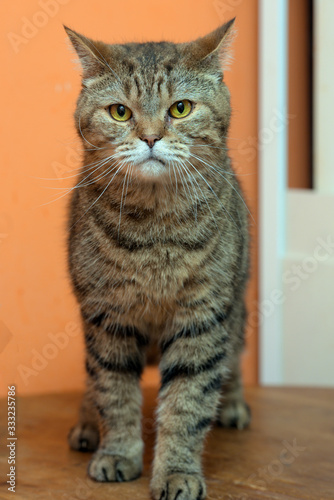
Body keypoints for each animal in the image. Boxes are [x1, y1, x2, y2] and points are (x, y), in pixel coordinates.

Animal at [65, 19, 250, 500]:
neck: (154, 231)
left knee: (233, 361)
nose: (150, 137)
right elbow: (115, 392)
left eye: (180, 109)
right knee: (92, 379)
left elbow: (187, 403)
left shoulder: (203, 317)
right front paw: (118, 453)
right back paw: (86, 422)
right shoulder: (106, 316)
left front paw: (177, 471)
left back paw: (234, 404)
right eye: (120, 113)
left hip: (237, 309)